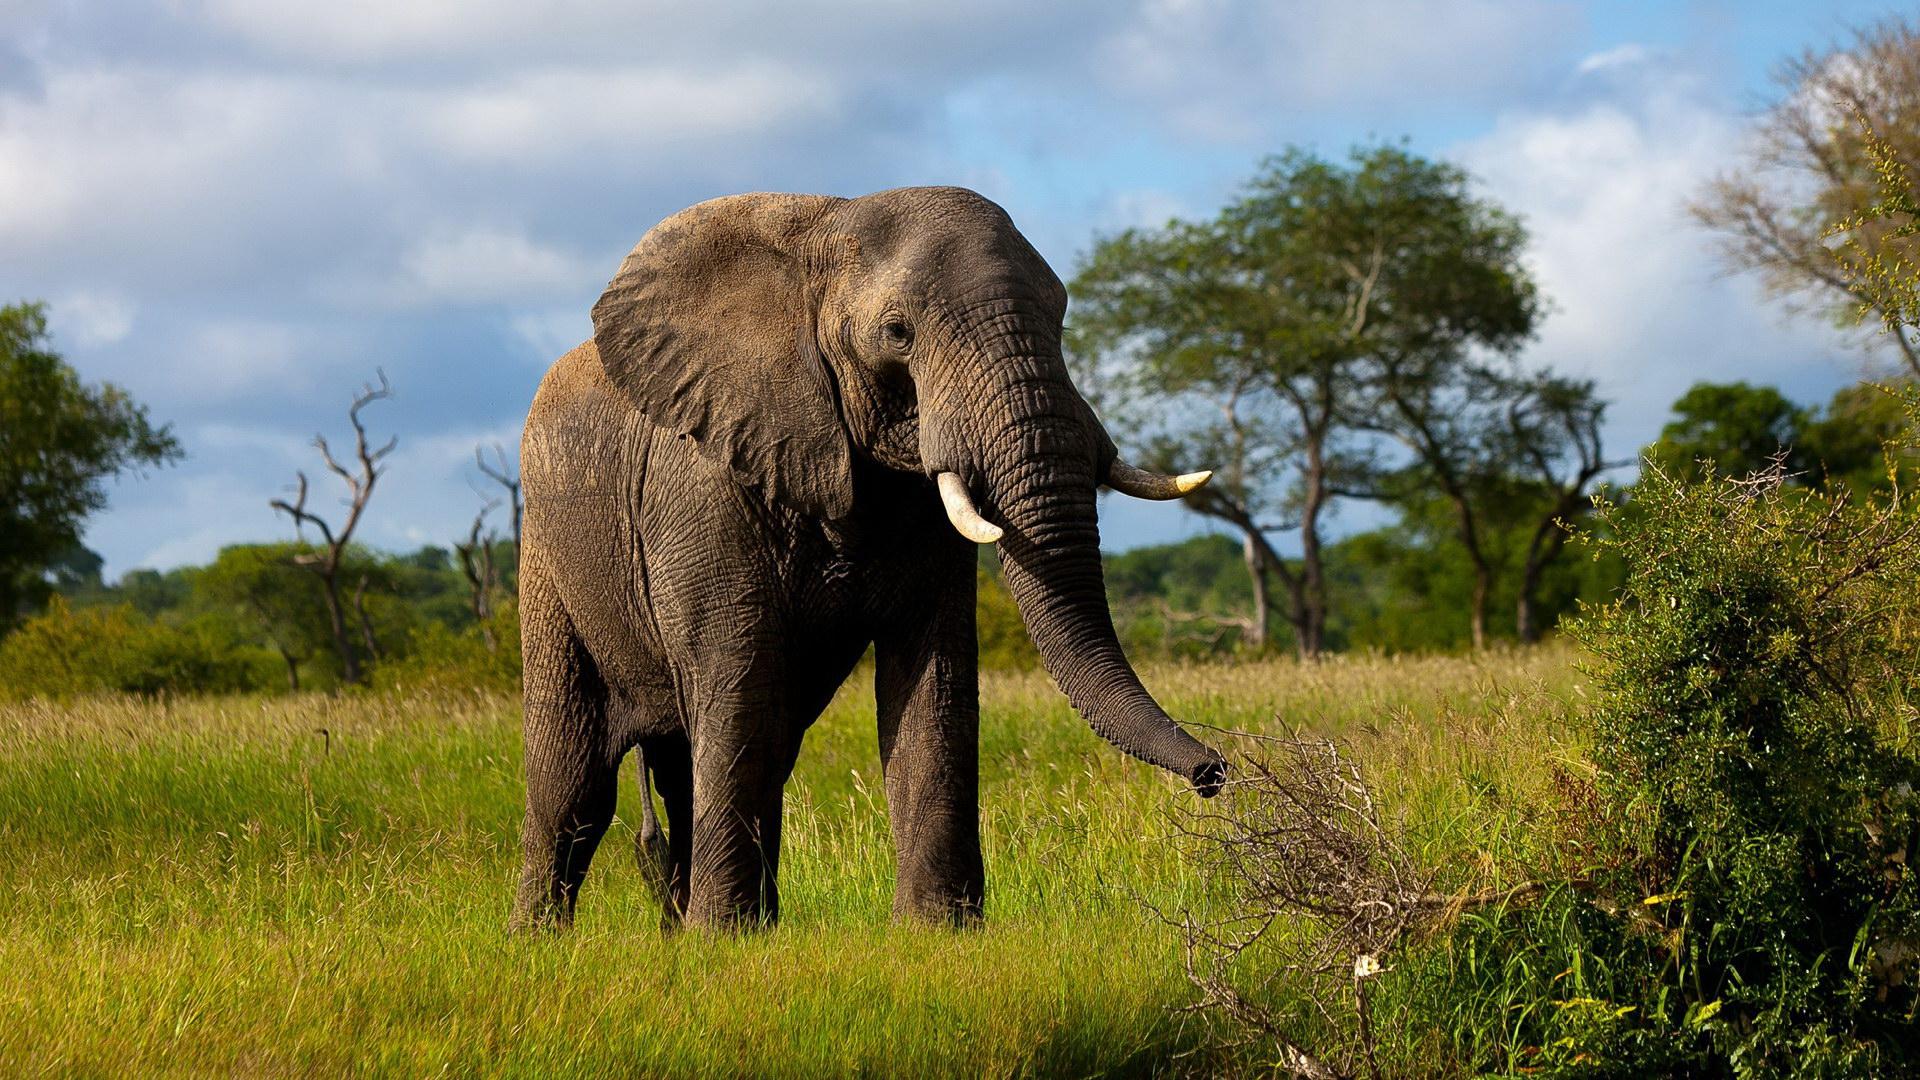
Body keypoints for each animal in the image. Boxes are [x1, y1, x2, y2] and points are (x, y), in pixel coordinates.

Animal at [510, 182, 1221, 926]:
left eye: (1060, 318)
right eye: (897, 333)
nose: (1213, 773)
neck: (825, 225)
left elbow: (934, 680)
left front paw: (938, 929)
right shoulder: (704, 481)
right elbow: (740, 676)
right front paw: (724, 938)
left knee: (705, 760)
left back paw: (700, 927)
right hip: (547, 560)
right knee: (575, 780)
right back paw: (544, 939)